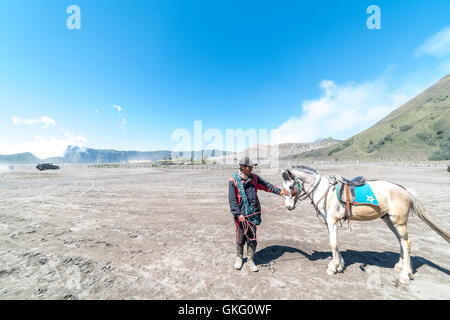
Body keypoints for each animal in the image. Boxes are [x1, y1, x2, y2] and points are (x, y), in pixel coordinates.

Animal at [282, 166, 450, 284]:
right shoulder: (329, 222)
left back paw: (404, 276)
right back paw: (401, 266)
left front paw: (333, 267)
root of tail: (405, 190)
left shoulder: (332, 220)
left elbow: (333, 243)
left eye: (290, 187)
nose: (288, 206)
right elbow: (335, 243)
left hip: (399, 221)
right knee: (401, 241)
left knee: (407, 242)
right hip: (389, 220)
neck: (324, 189)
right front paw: (340, 265)